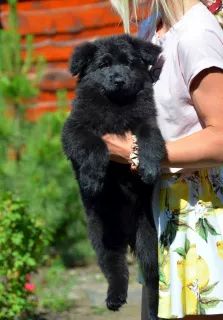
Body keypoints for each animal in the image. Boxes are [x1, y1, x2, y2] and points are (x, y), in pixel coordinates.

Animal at [61, 35, 166, 320]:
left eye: (129, 63)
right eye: (104, 65)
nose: (118, 80)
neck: (116, 105)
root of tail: (128, 235)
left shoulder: (147, 121)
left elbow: (150, 139)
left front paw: (148, 168)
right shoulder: (74, 129)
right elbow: (95, 145)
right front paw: (93, 178)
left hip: (148, 238)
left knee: (152, 280)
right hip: (102, 234)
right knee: (115, 268)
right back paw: (114, 298)